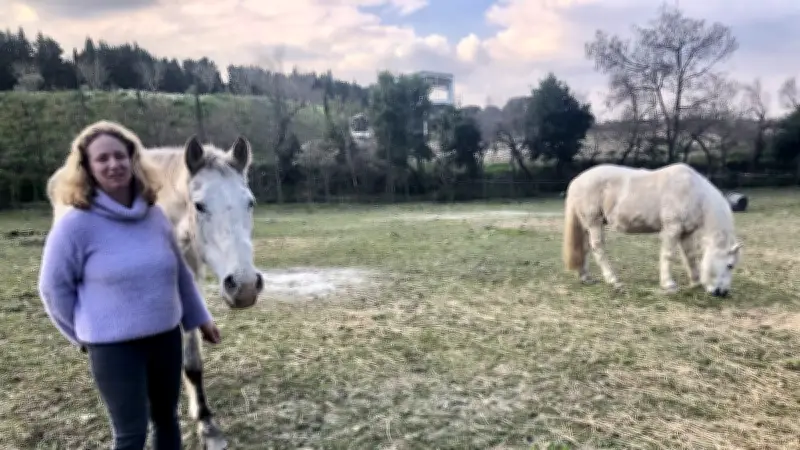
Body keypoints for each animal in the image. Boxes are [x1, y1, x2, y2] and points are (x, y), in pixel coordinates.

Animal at [562, 162, 743, 297]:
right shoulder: (672, 228)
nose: (722, 293)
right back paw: (612, 279)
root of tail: (577, 181)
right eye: (730, 265)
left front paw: (696, 282)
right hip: (594, 222)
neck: (694, 193)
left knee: (584, 249)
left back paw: (586, 277)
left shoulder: (686, 233)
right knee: (598, 248)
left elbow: (690, 256)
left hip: (587, 225)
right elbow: (668, 255)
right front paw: (668, 284)